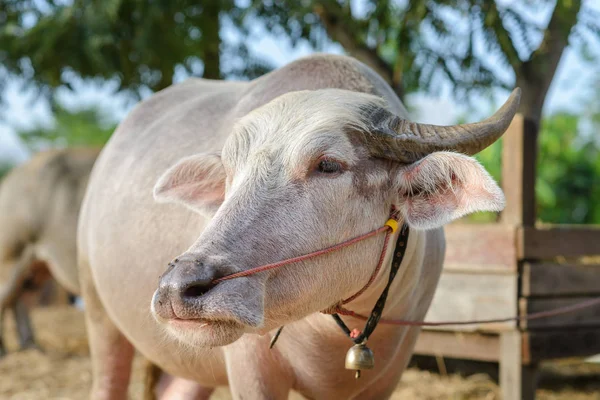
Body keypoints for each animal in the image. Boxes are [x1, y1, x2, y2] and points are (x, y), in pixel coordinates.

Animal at [77, 54, 516, 400]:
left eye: (328, 165)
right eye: (230, 174)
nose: (177, 289)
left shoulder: (387, 373)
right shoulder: (251, 369)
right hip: (100, 314)